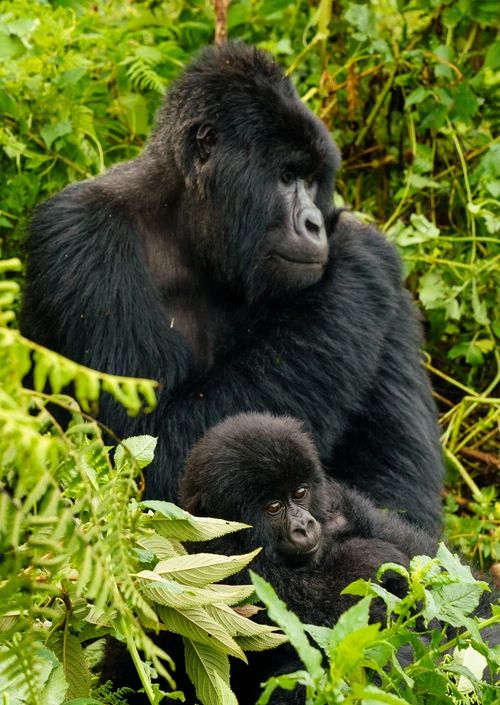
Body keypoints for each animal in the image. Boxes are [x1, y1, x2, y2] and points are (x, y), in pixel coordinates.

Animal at [23, 40, 444, 532]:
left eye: (312, 181)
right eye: (286, 177)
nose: (316, 224)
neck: (184, 224)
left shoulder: (389, 303)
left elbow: (400, 494)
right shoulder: (84, 237)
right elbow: (144, 457)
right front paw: (357, 251)